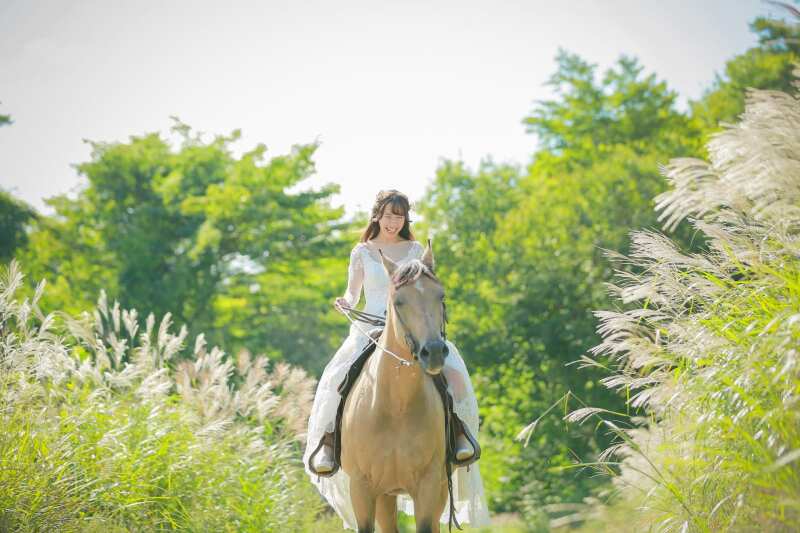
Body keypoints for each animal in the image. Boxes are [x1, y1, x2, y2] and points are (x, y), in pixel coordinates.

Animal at [338, 244, 450, 532]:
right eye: (399, 301)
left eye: (440, 296)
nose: (434, 352)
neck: (396, 406)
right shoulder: (362, 487)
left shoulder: (429, 485)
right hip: (385, 495)